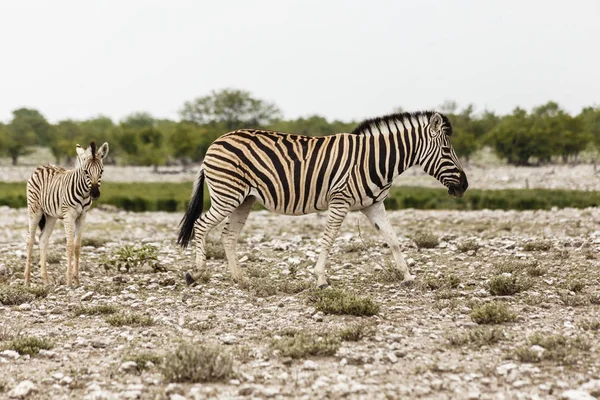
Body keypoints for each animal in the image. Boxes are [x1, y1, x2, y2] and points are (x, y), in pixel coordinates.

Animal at [24, 142, 109, 286]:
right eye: (86, 171)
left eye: (101, 171)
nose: (95, 194)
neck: (84, 194)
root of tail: (43, 166)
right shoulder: (69, 215)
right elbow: (69, 245)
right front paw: (69, 281)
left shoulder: (82, 217)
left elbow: (77, 246)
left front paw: (77, 281)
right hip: (34, 209)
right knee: (30, 240)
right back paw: (27, 279)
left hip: (51, 216)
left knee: (43, 239)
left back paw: (46, 280)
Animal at [178, 110, 468, 288]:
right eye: (446, 150)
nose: (465, 186)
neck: (375, 160)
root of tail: (215, 142)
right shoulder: (340, 201)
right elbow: (328, 240)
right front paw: (320, 279)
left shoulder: (374, 205)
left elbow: (393, 239)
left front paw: (407, 276)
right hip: (227, 195)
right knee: (201, 225)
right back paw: (195, 273)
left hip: (243, 200)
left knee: (228, 236)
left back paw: (241, 279)